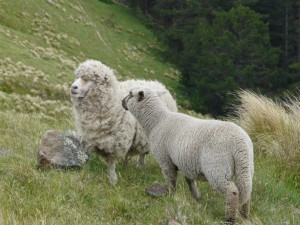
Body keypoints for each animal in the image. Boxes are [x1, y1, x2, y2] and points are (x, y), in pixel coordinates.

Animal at [123, 87, 254, 223]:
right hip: (246, 167)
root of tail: (239, 143)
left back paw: (230, 218)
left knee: (232, 191)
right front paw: (197, 200)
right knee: (246, 189)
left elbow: (171, 180)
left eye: (131, 94)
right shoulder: (186, 163)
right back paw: (244, 215)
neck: (157, 122)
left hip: (217, 166)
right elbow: (190, 183)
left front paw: (171, 196)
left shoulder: (165, 160)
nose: (122, 102)